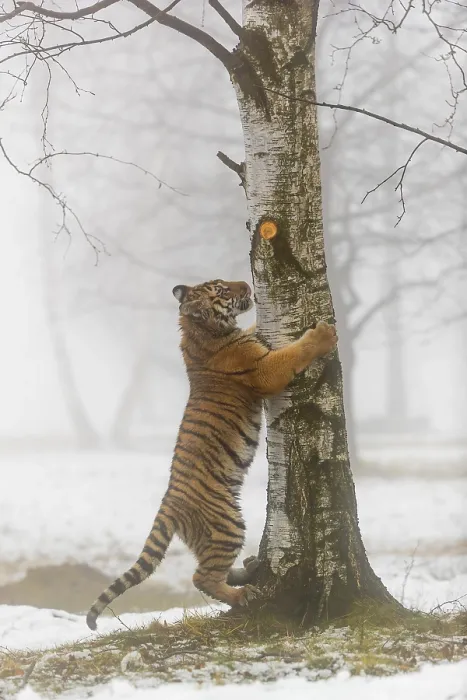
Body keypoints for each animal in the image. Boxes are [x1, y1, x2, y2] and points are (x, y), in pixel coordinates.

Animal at [86, 278, 337, 630]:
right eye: (221, 289)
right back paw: (244, 594)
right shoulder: (263, 370)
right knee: (201, 577)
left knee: (212, 570)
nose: (245, 283)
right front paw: (323, 335)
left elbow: (256, 328)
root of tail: (168, 504)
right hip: (227, 523)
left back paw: (250, 568)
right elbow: (291, 353)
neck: (204, 332)